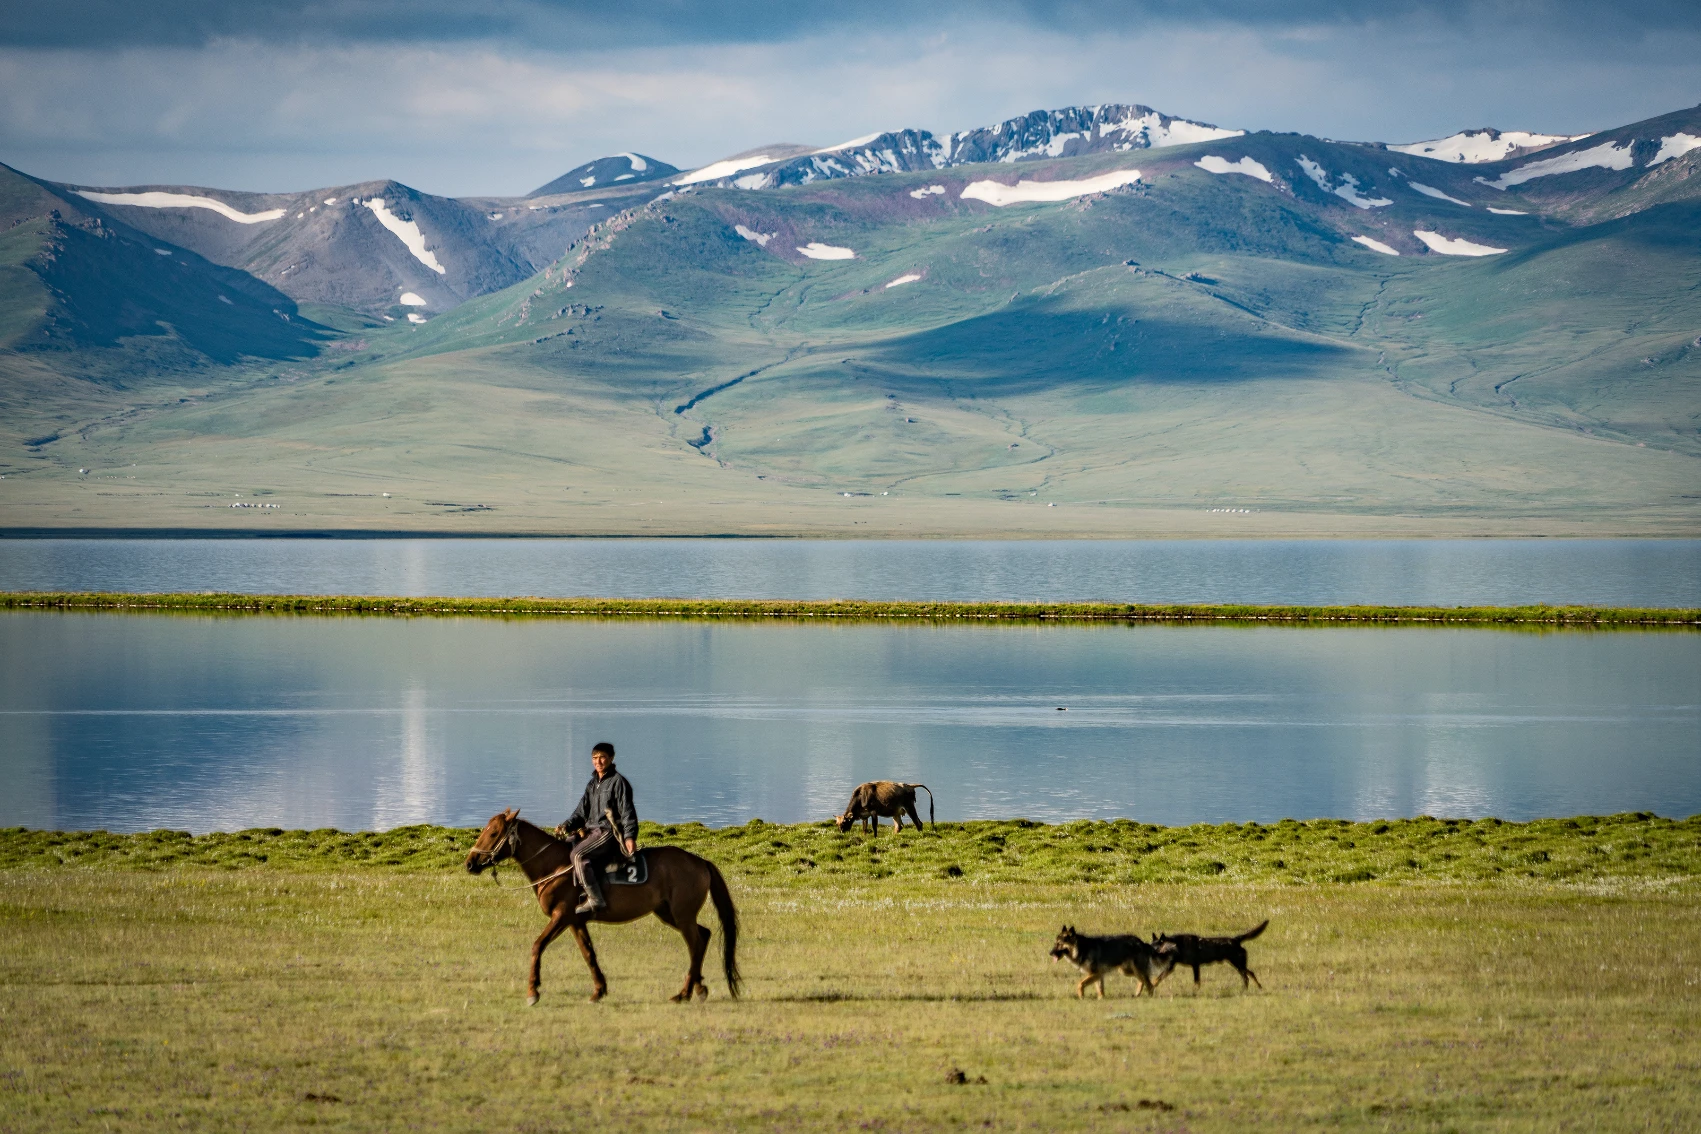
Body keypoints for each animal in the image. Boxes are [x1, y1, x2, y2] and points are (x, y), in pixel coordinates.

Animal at [464, 809, 741, 1005]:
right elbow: (589, 953)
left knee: (695, 943)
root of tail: (700, 862)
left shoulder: (561, 916)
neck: (554, 866)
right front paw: (599, 990)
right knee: (703, 936)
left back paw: (684, 993)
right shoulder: (575, 921)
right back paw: (699, 988)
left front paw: (533, 991)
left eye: (493, 833)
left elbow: (537, 946)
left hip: (682, 916)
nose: (470, 863)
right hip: (669, 914)